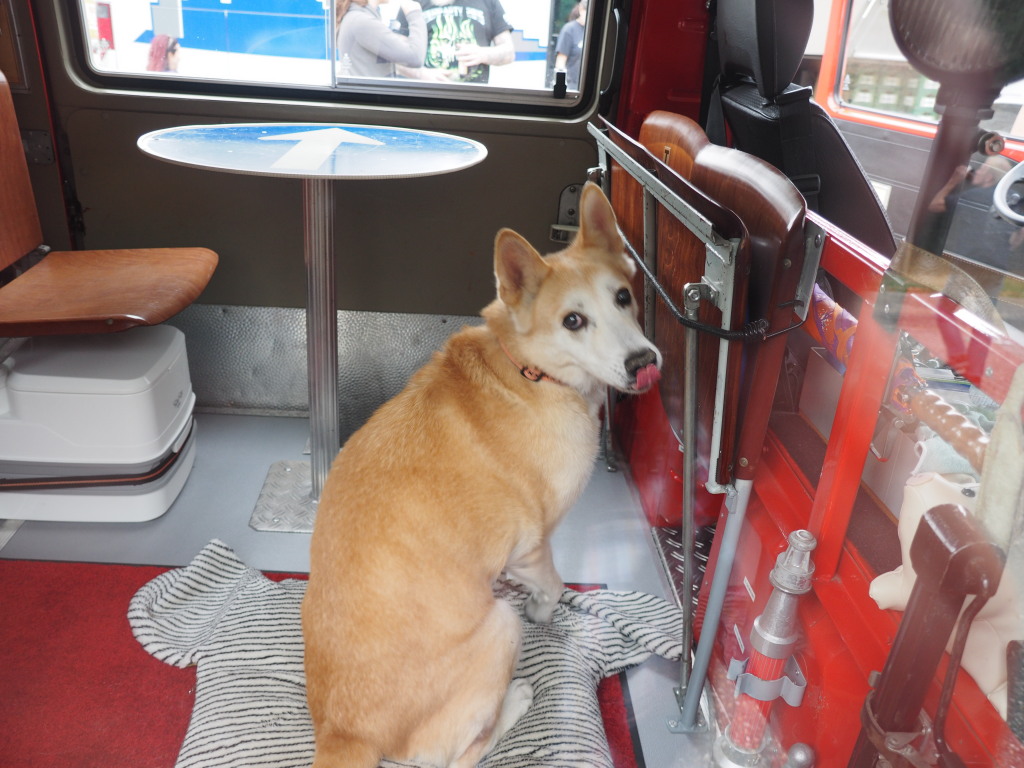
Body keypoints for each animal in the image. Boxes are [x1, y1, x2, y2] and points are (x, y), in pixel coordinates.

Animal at [302, 182, 662, 768]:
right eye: (573, 320)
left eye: (624, 298)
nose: (643, 362)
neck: (529, 370)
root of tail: (344, 733)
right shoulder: (531, 544)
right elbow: (553, 584)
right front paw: (544, 609)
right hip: (499, 627)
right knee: (463, 756)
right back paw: (516, 698)